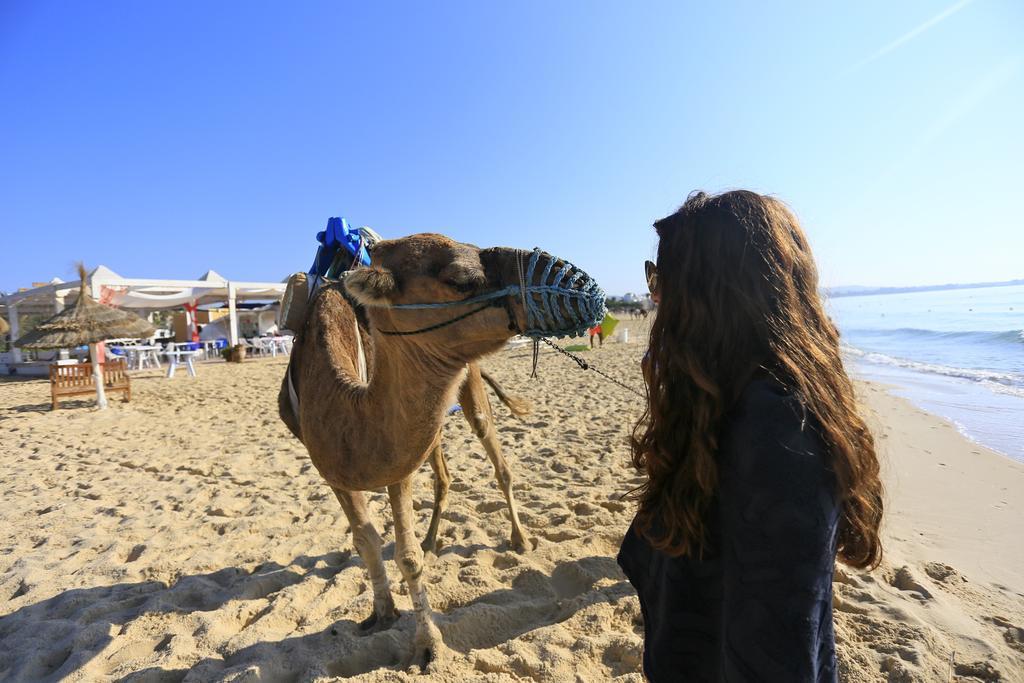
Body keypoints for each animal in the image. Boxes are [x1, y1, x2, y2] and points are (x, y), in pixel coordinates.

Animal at [280, 232, 598, 671]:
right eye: (461, 279)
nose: (576, 281)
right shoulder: (328, 464)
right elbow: (365, 540)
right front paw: (382, 613)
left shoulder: (395, 466)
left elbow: (406, 555)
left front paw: (429, 646)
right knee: (443, 475)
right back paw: (434, 540)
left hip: (472, 389)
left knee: (499, 463)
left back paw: (520, 539)